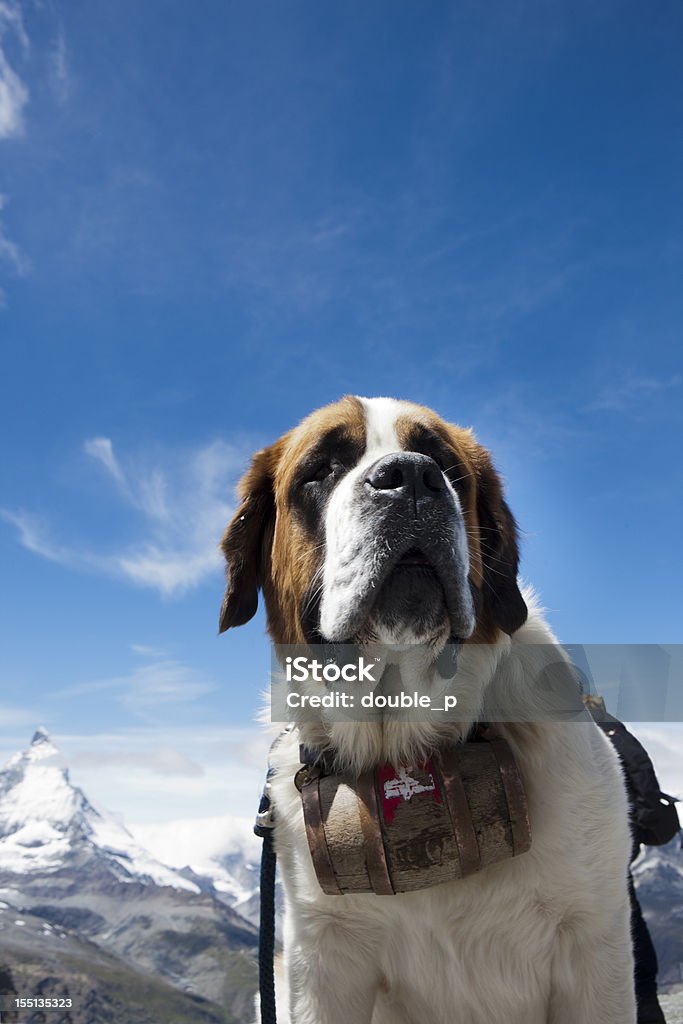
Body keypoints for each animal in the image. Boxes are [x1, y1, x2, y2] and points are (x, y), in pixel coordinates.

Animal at [219, 395, 634, 1019]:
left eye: (445, 464)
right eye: (322, 469)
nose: (410, 476)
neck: (405, 741)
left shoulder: (593, 944)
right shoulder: (320, 957)